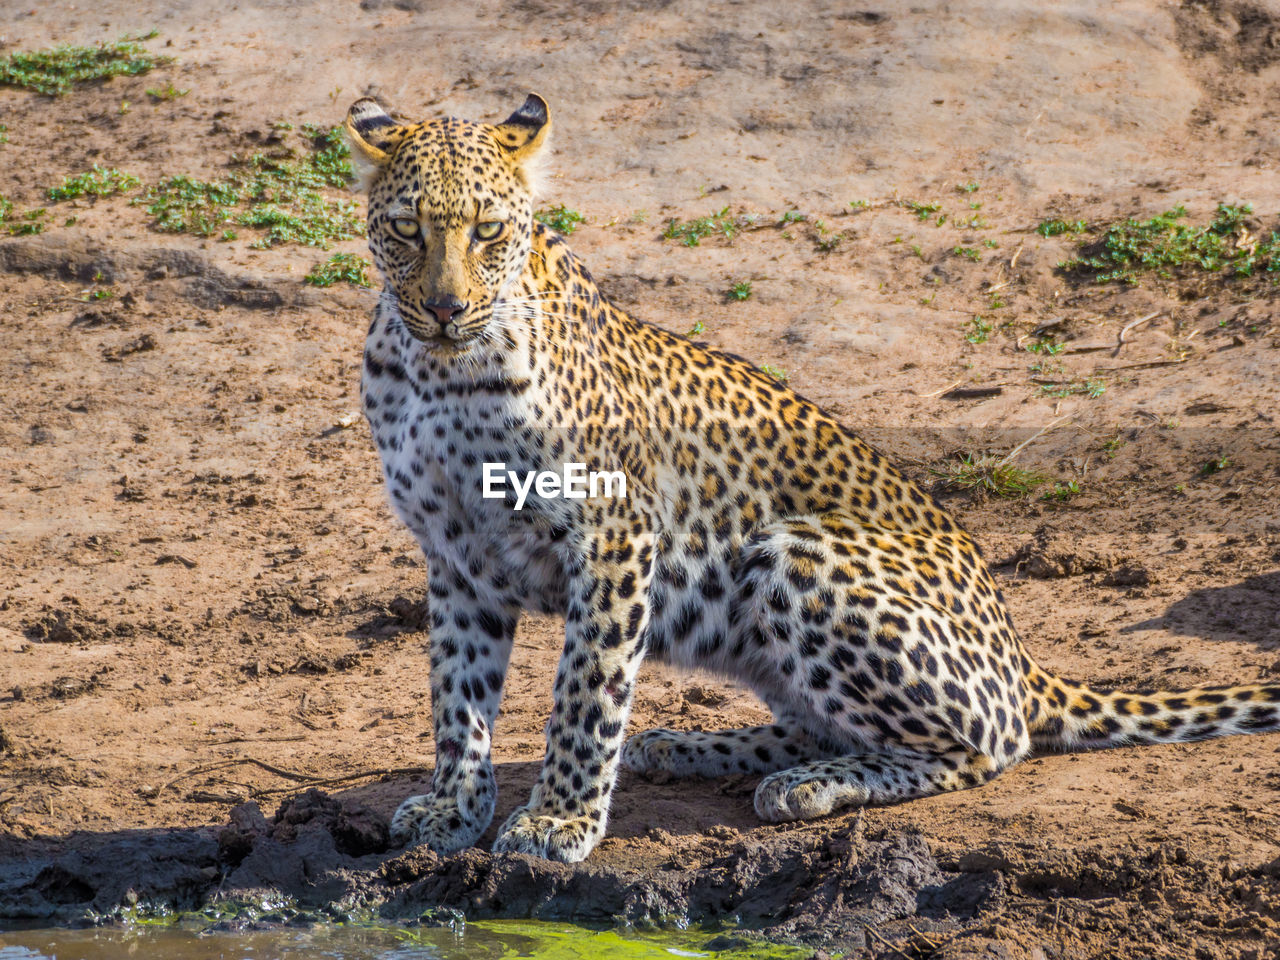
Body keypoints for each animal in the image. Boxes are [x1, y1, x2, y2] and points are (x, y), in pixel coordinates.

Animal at [345, 94, 1280, 870]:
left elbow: (586, 689)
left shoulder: (613, 533)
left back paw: (811, 786)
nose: (445, 308)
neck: (438, 373)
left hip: (798, 554)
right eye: (407, 228)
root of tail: (1021, 658)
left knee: (987, 746)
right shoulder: (456, 554)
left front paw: (557, 821)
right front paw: (454, 809)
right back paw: (687, 748)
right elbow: (456, 694)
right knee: (812, 721)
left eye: (488, 231)